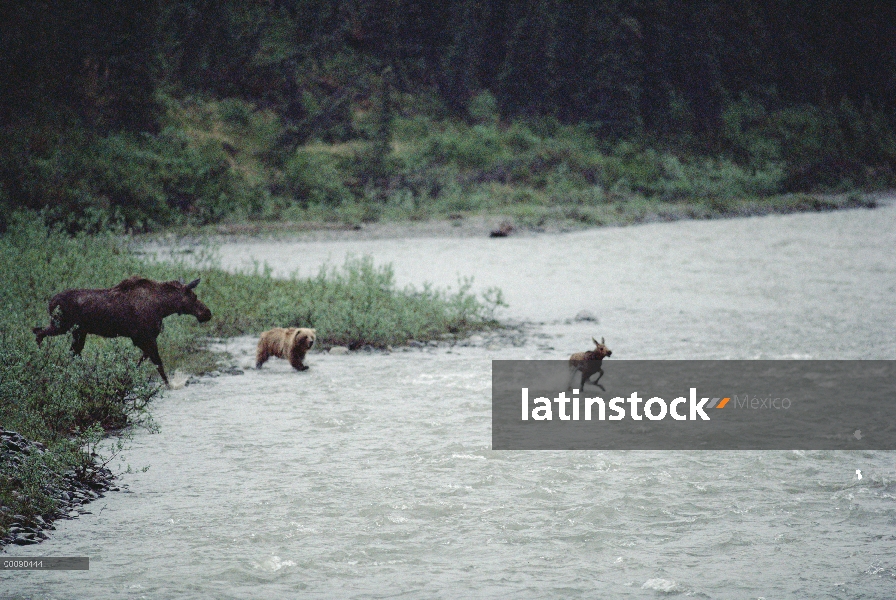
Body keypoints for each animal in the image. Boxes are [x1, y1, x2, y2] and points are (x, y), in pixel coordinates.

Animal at [32, 276, 212, 384]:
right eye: (194, 297)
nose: (207, 313)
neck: (164, 307)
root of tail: (50, 303)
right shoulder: (142, 336)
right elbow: (158, 364)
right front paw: (169, 385)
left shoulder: (142, 338)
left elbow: (144, 359)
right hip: (62, 326)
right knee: (39, 332)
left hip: (78, 332)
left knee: (70, 351)